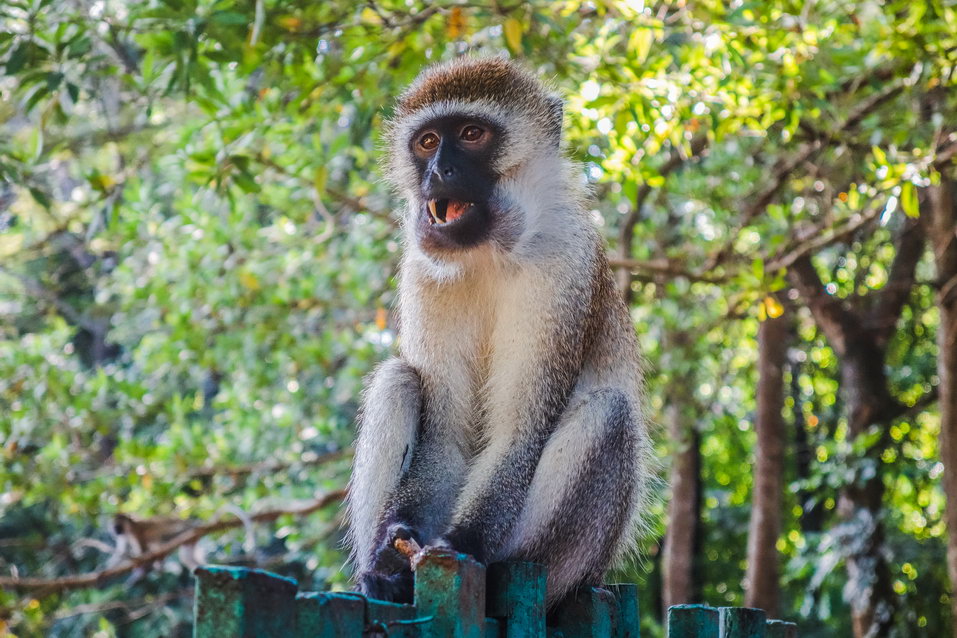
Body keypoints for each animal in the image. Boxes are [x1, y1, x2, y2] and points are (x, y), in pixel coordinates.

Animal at [344, 56, 648, 604]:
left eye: (471, 134)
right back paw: (382, 578)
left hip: (566, 561)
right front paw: (390, 548)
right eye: (427, 142)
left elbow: (518, 433)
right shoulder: (423, 271)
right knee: (397, 380)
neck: (488, 250)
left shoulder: (564, 264)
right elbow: (445, 435)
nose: (438, 172)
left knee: (609, 413)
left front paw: (460, 544)